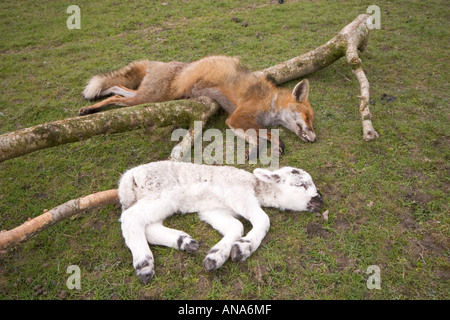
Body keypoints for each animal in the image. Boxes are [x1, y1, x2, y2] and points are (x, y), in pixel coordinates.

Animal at [79, 55, 316, 156]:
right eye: (308, 118)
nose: (314, 138)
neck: (270, 102)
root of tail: (158, 63)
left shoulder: (235, 122)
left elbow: (259, 139)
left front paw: (255, 151)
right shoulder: (238, 117)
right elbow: (270, 134)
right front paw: (277, 144)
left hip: (148, 97)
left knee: (116, 87)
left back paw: (90, 107)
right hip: (151, 98)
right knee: (116, 94)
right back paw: (90, 110)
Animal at [118, 161, 324, 284]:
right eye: (300, 185)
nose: (320, 199)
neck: (255, 187)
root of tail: (129, 177)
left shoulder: (213, 210)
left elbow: (236, 226)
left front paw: (216, 257)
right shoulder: (239, 194)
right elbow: (263, 219)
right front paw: (243, 248)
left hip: (159, 202)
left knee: (149, 227)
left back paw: (185, 242)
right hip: (160, 194)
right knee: (130, 219)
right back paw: (144, 265)